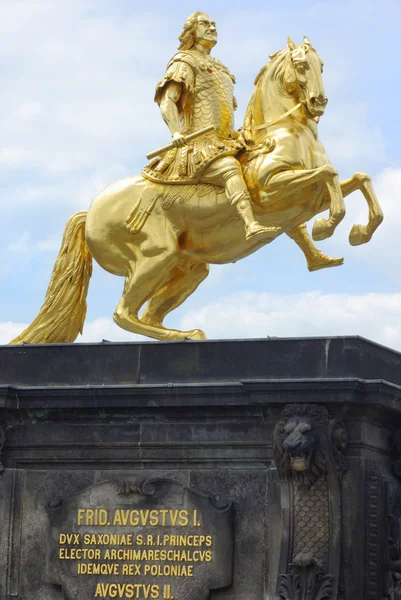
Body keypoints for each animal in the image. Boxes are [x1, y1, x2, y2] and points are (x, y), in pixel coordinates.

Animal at [11, 37, 382, 344]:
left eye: (322, 65)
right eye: (302, 65)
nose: (319, 102)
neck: (281, 133)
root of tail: (90, 213)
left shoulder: (306, 199)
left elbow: (358, 179)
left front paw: (357, 234)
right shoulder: (271, 190)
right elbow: (329, 174)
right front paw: (328, 225)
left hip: (187, 268)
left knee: (147, 313)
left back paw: (186, 334)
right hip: (155, 258)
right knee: (123, 313)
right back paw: (184, 335)